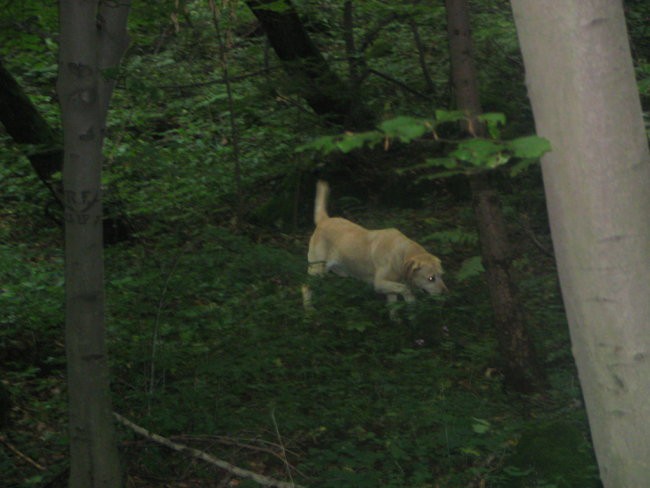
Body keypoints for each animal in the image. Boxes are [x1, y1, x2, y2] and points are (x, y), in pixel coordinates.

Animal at [300, 180, 446, 316]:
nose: (446, 292)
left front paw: (397, 321)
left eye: (441, 275)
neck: (401, 254)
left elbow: (393, 306)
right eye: (431, 278)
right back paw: (309, 310)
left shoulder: (390, 288)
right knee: (305, 287)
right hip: (317, 270)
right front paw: (410, 301)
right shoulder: (379, 283)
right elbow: (405, 288)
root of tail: (324, 220)